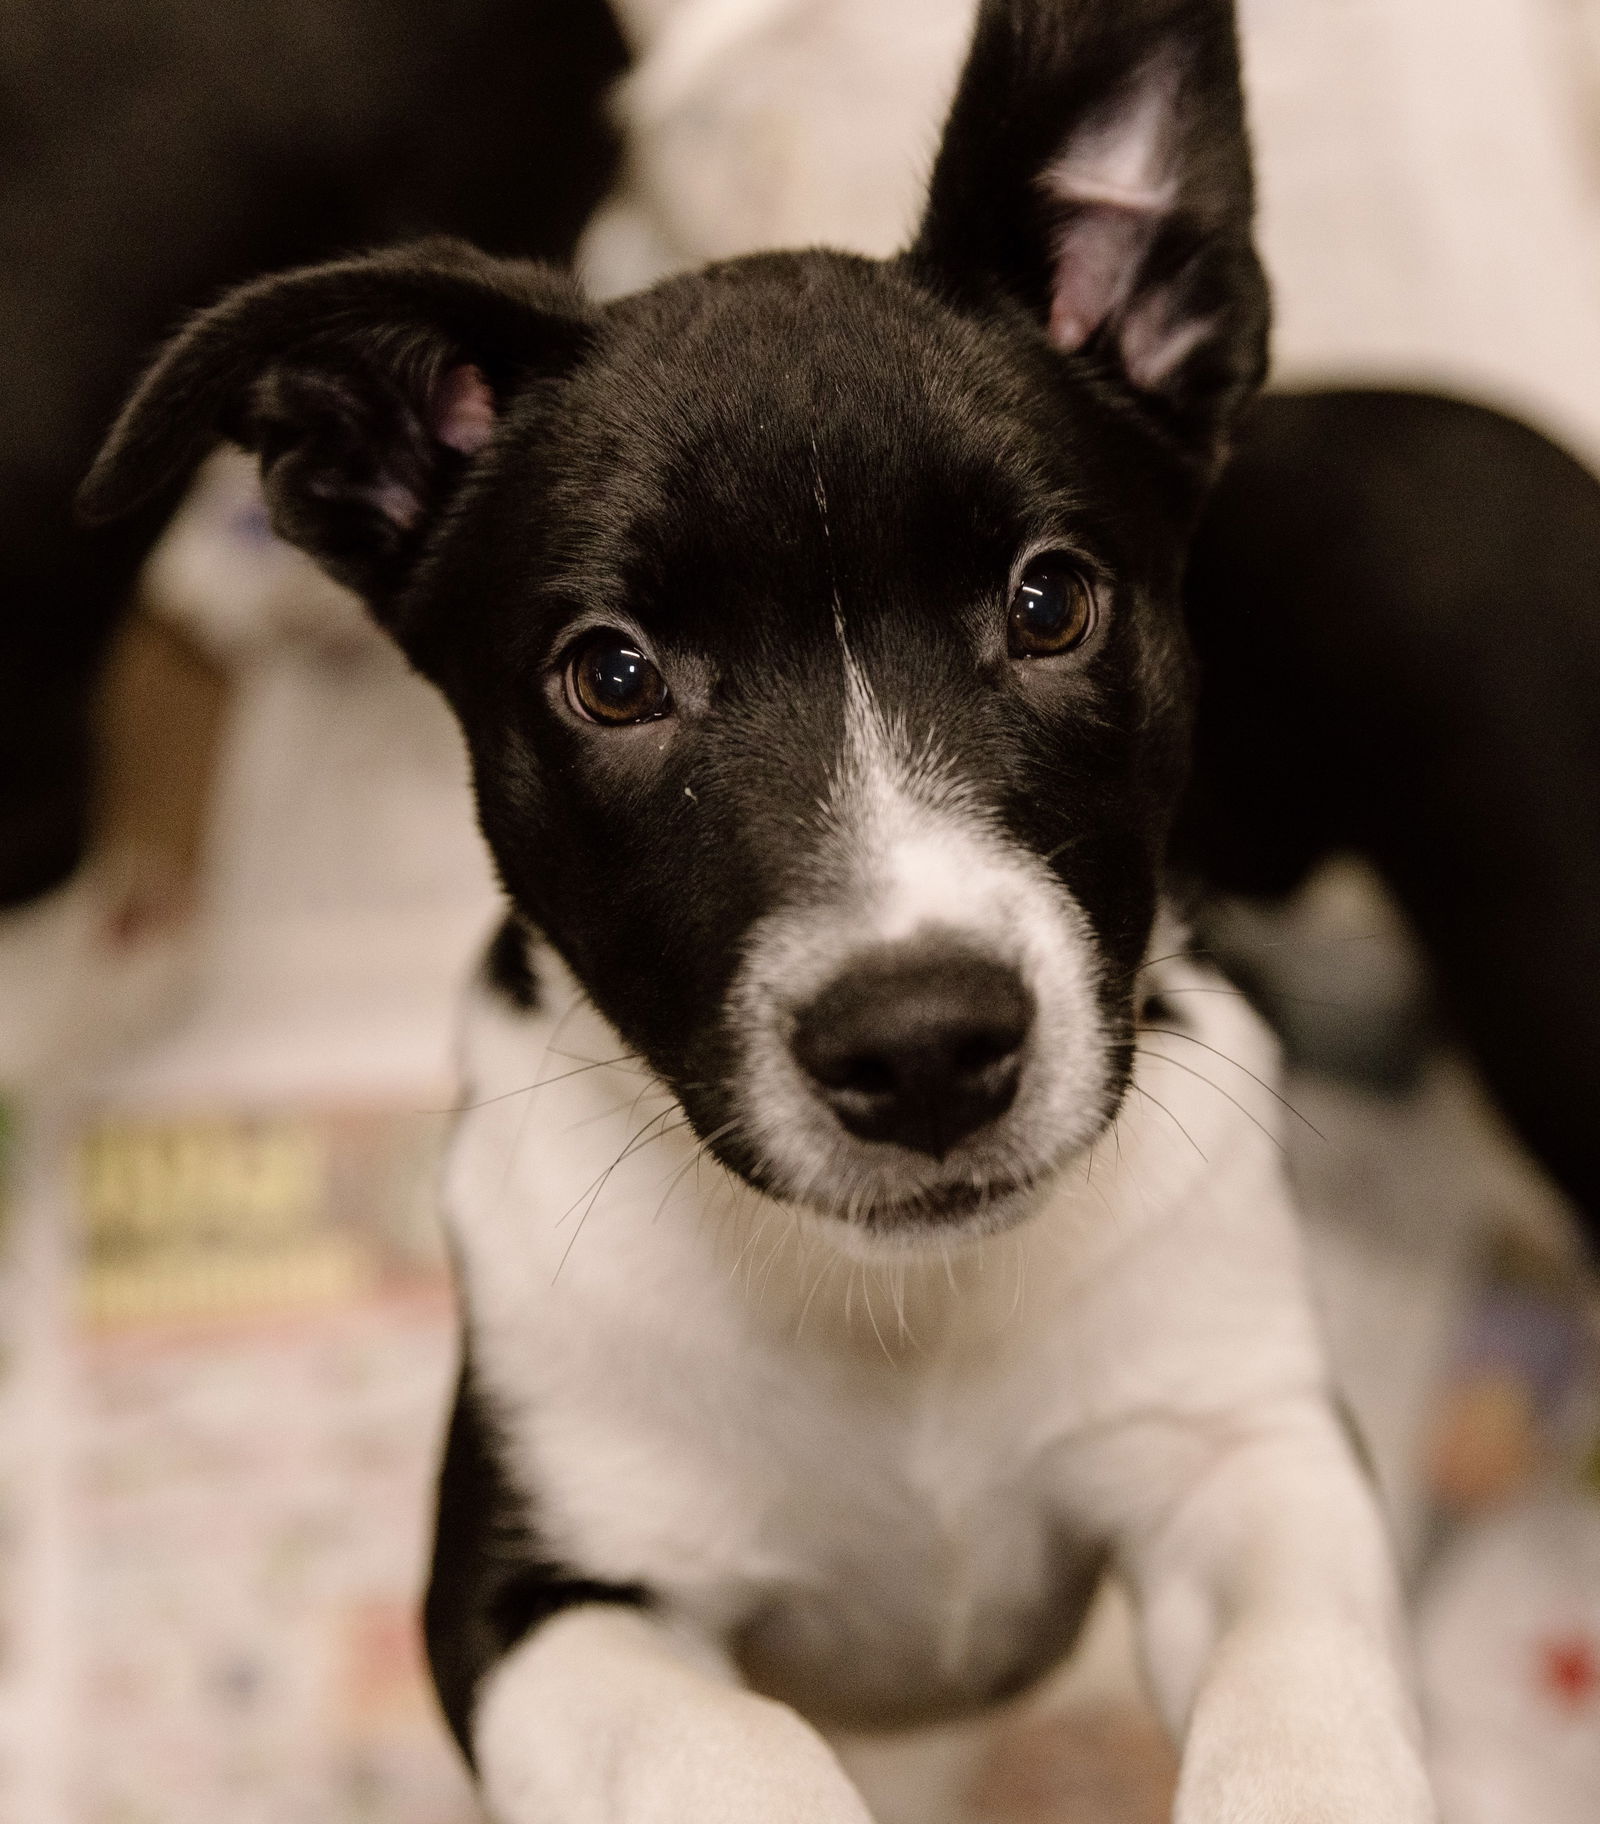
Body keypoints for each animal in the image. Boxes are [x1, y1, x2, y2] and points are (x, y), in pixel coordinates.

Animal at [84, 0, 1437, 1816]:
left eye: (1052, 601)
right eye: (613, 677)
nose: (925, 1048)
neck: (894, 1319)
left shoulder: (1244, 1441)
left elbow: (1306, 1687)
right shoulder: (528, 1595)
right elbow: (714, 1742)